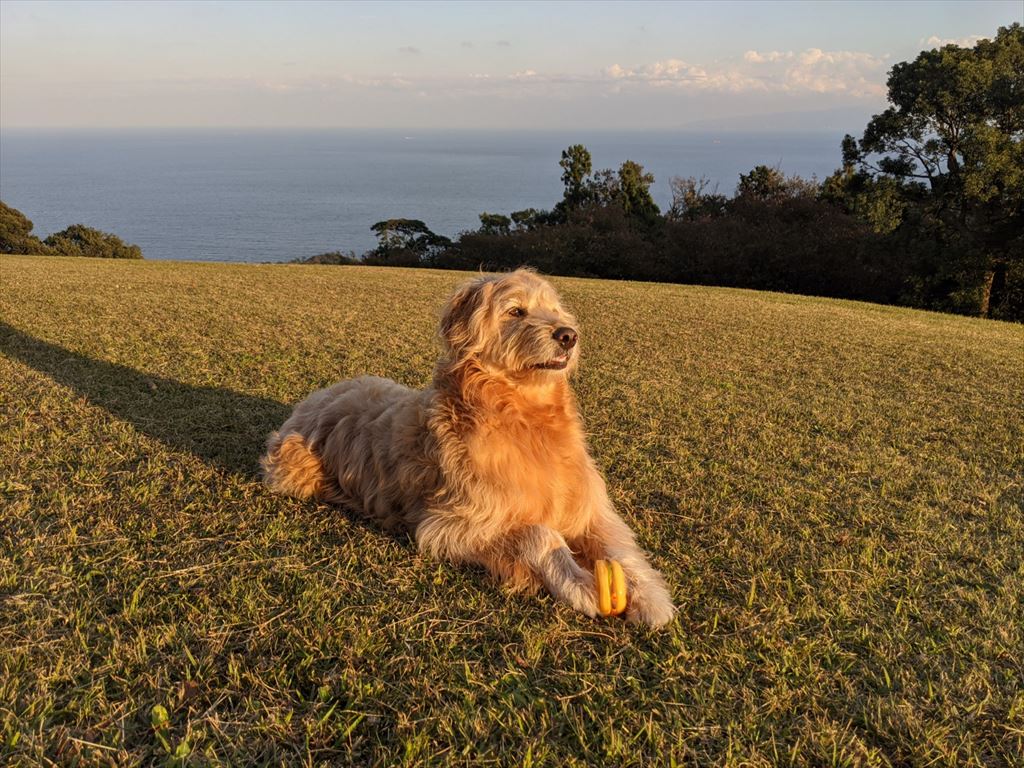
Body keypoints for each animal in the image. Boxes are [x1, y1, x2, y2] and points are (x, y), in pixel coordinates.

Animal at [264, 268, 675, 626]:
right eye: (516, 311)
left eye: (554, 310)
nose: (568, 335)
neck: (525, 418)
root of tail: (317, 396)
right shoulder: (450, 523)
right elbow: (538, 534)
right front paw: (578, 583)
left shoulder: (587, 505)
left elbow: (616, 545)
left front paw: (649, 595)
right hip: (294, 468)